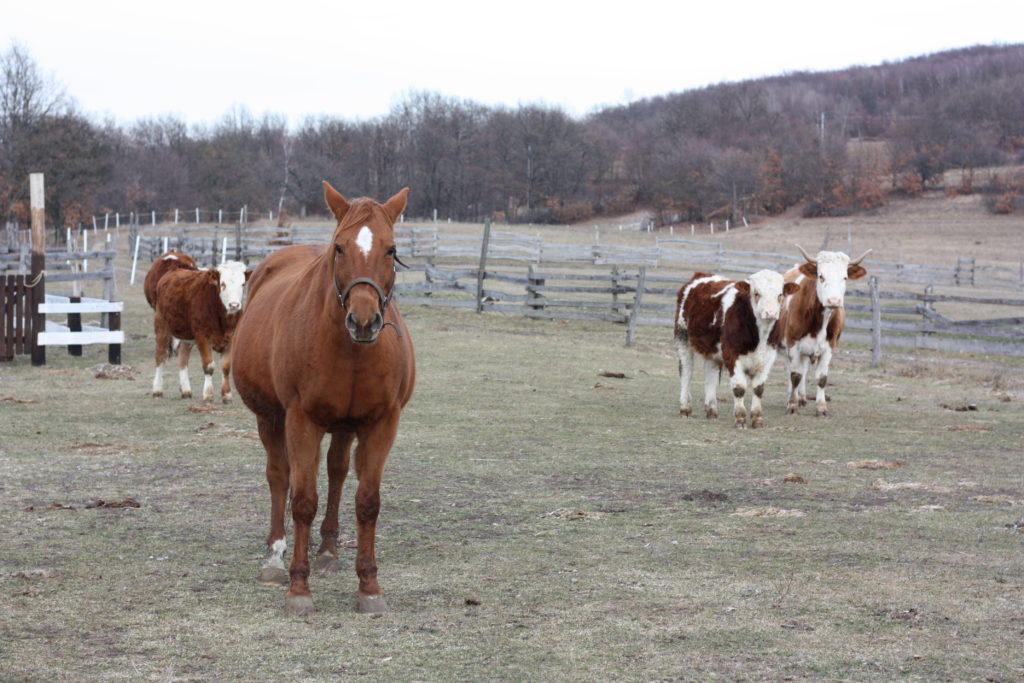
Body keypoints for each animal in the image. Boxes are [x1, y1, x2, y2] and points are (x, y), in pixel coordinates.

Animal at [150, 260, 248, 401]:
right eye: (223, 284)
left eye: (243, 284)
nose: (234, 305)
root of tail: (173, 270)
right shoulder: (202, 336)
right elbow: (209, 366)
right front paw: (208, 395)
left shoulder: (231, 339)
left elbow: (226, 367)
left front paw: (227, 395)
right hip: (161, 327)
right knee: (160, 356)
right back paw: (157, 390)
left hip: (187, 335)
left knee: (183, 358)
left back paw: (186, 391)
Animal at [233, 184, 415, 618]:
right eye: (339, 248)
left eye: (390, 249)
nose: (363, 320)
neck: (351, 351)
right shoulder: (302, 421)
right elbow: (302, 500)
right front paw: (299, 588)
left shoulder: (381, 424)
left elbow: (366, 502)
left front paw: (369, 585)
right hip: (270, 419)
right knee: (279, 477)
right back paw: (275, 555)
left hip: (345, 427)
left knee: (336, 474)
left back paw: (329, 548)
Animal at [778, 245, 868, 417]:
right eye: (821, 276)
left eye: (845, 277)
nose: (833, 301)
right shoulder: (792, 344)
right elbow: (795, 375)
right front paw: (792, 405)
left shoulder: (829, 347)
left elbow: (821, 378)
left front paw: (821, 407)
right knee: (791, 370)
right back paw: (792, 398)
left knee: (803, 369)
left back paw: (802, 398)